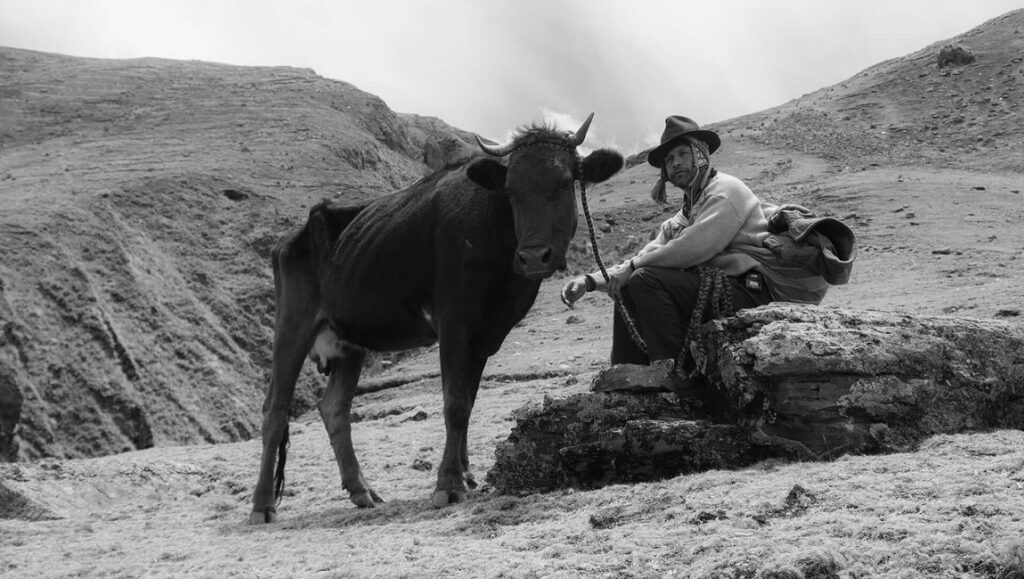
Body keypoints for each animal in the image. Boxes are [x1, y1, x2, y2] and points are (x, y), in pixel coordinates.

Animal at [249, 113, 624, 523]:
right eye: (511, 190)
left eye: (565, 182)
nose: (534, 256)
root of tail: (296, 234)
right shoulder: (454, 321)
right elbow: (455, 403)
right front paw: (448, 484)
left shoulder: (486, 332)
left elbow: (469, 401)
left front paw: (467, 474)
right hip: (293, 325)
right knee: (275, 410)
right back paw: (262, 506)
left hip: (349, 339)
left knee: (334, 408)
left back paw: (362, 491)